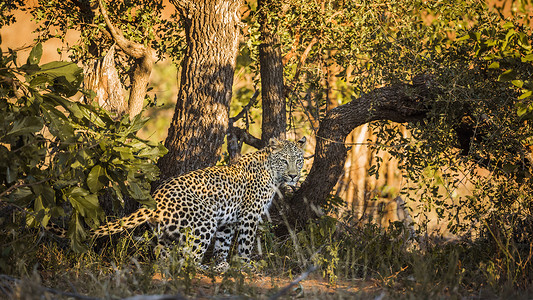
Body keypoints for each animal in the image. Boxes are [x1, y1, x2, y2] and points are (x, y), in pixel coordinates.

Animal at [89, 138, 304, 272]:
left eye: (299, 160)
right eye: (284, 161)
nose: (294, 176)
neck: (273, 173)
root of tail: (156, 199)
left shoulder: (229, 221)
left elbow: (222, 245)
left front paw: (221, 264)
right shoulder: (249, 215)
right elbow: (246, 243)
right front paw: (245, 265)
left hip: (168, 233)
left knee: (167, 257)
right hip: (205, 221)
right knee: (188, 259)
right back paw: (202, 268)